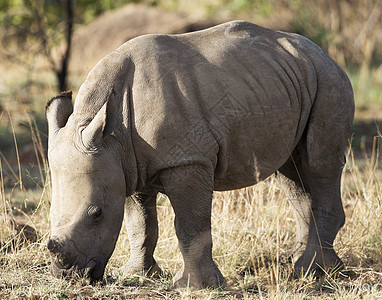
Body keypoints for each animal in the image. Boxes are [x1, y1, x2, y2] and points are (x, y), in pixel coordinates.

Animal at [46, 19, 354, 288]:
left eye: (96, 213)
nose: (69, 275)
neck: (111, 134)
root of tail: (324, 53)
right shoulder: (125, 164)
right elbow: (140, 225)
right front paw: (137, 275)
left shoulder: (187, 160)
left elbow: (189, 224)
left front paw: (196, 285)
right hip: (285, 80)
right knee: (291, 172)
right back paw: (295, 262)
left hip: (329, 81)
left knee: (319, 164)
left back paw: (313, 271)